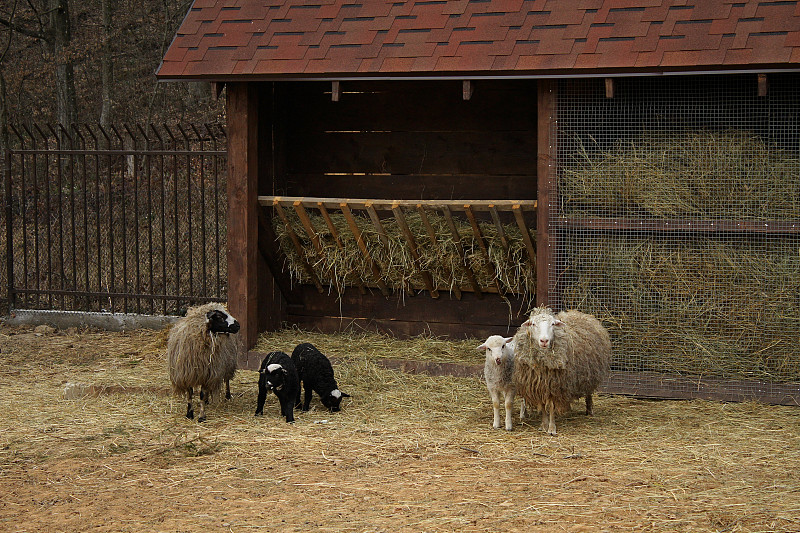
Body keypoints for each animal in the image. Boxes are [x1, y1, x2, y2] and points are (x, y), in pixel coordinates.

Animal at [512, 306, 612, 434]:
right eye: (533, 324)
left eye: (553, 324)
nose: (544, 341)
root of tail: (580, 313)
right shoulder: (539, 386)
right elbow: (543, 406)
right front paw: (543, 425)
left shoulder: (555, 386)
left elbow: (551, 406)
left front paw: (551, 428)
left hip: (590, 374)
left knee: (589, 393)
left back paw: (589, 411)